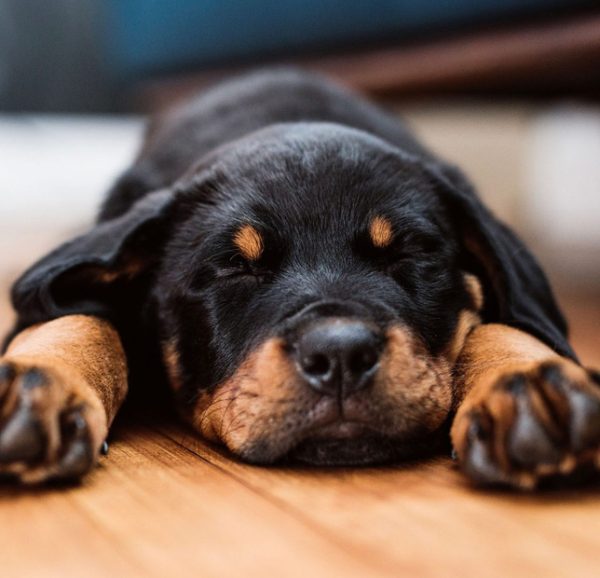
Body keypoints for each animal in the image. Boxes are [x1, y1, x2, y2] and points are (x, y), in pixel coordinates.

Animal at [1, 71, 600, 486]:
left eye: (407, 253)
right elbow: (78, 316)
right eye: (234, 266)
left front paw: (531, 385)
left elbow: (502, 323)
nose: (340, 355)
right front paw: (34, 385)